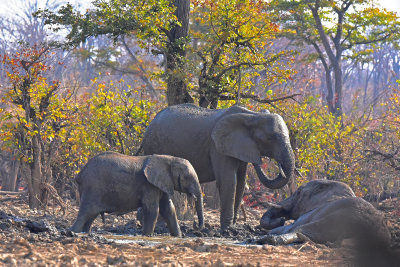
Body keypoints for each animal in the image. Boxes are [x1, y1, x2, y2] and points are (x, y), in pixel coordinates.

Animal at [69, 152, 205, 238]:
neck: (169, 159)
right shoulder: (149, 185)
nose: (196, 225)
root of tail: (80, 174)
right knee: (87, 212)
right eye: (187, 177)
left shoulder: (162, 183)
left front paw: (178, 236)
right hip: (93, 188)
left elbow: (168, 209)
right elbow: (153, 209)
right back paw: (72, 233)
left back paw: (85, 233)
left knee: (91, 216)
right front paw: (147, 236)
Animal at [142, 103, 296, 229]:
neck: (253, 115)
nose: (260, 160)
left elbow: (241, 183)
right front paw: (227, 230)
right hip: (153, 144)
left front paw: (233, 227)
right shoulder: (218, 147)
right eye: (270, 138)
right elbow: (229, 182)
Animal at [256, 180, 390, 247]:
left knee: (299, 230)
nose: (282, 219)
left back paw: (267, 240)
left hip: (340, 218)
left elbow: (288, 227)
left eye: (298, 193)